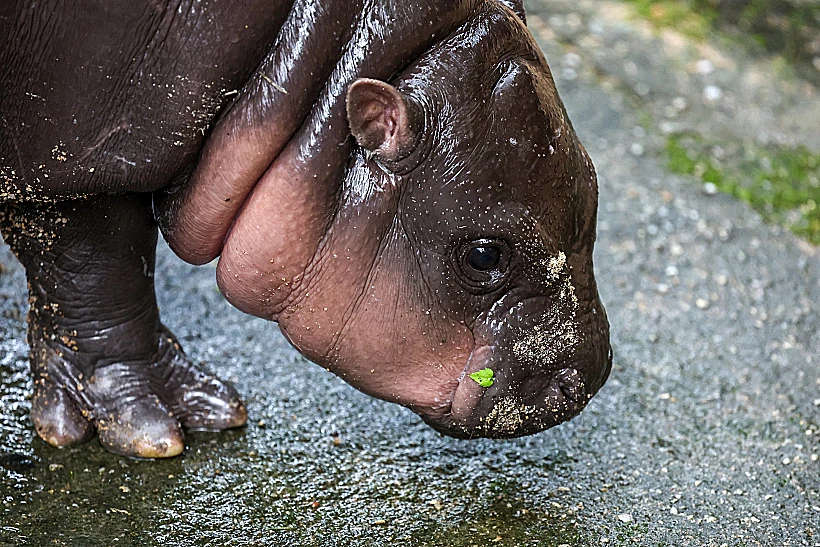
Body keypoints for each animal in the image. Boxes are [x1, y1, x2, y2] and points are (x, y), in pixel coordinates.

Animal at [0, 0, 612, 458]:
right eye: (484, 256)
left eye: (594, 182)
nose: (590, 376)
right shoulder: (71, 155)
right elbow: (96, 264)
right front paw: (150, 424)